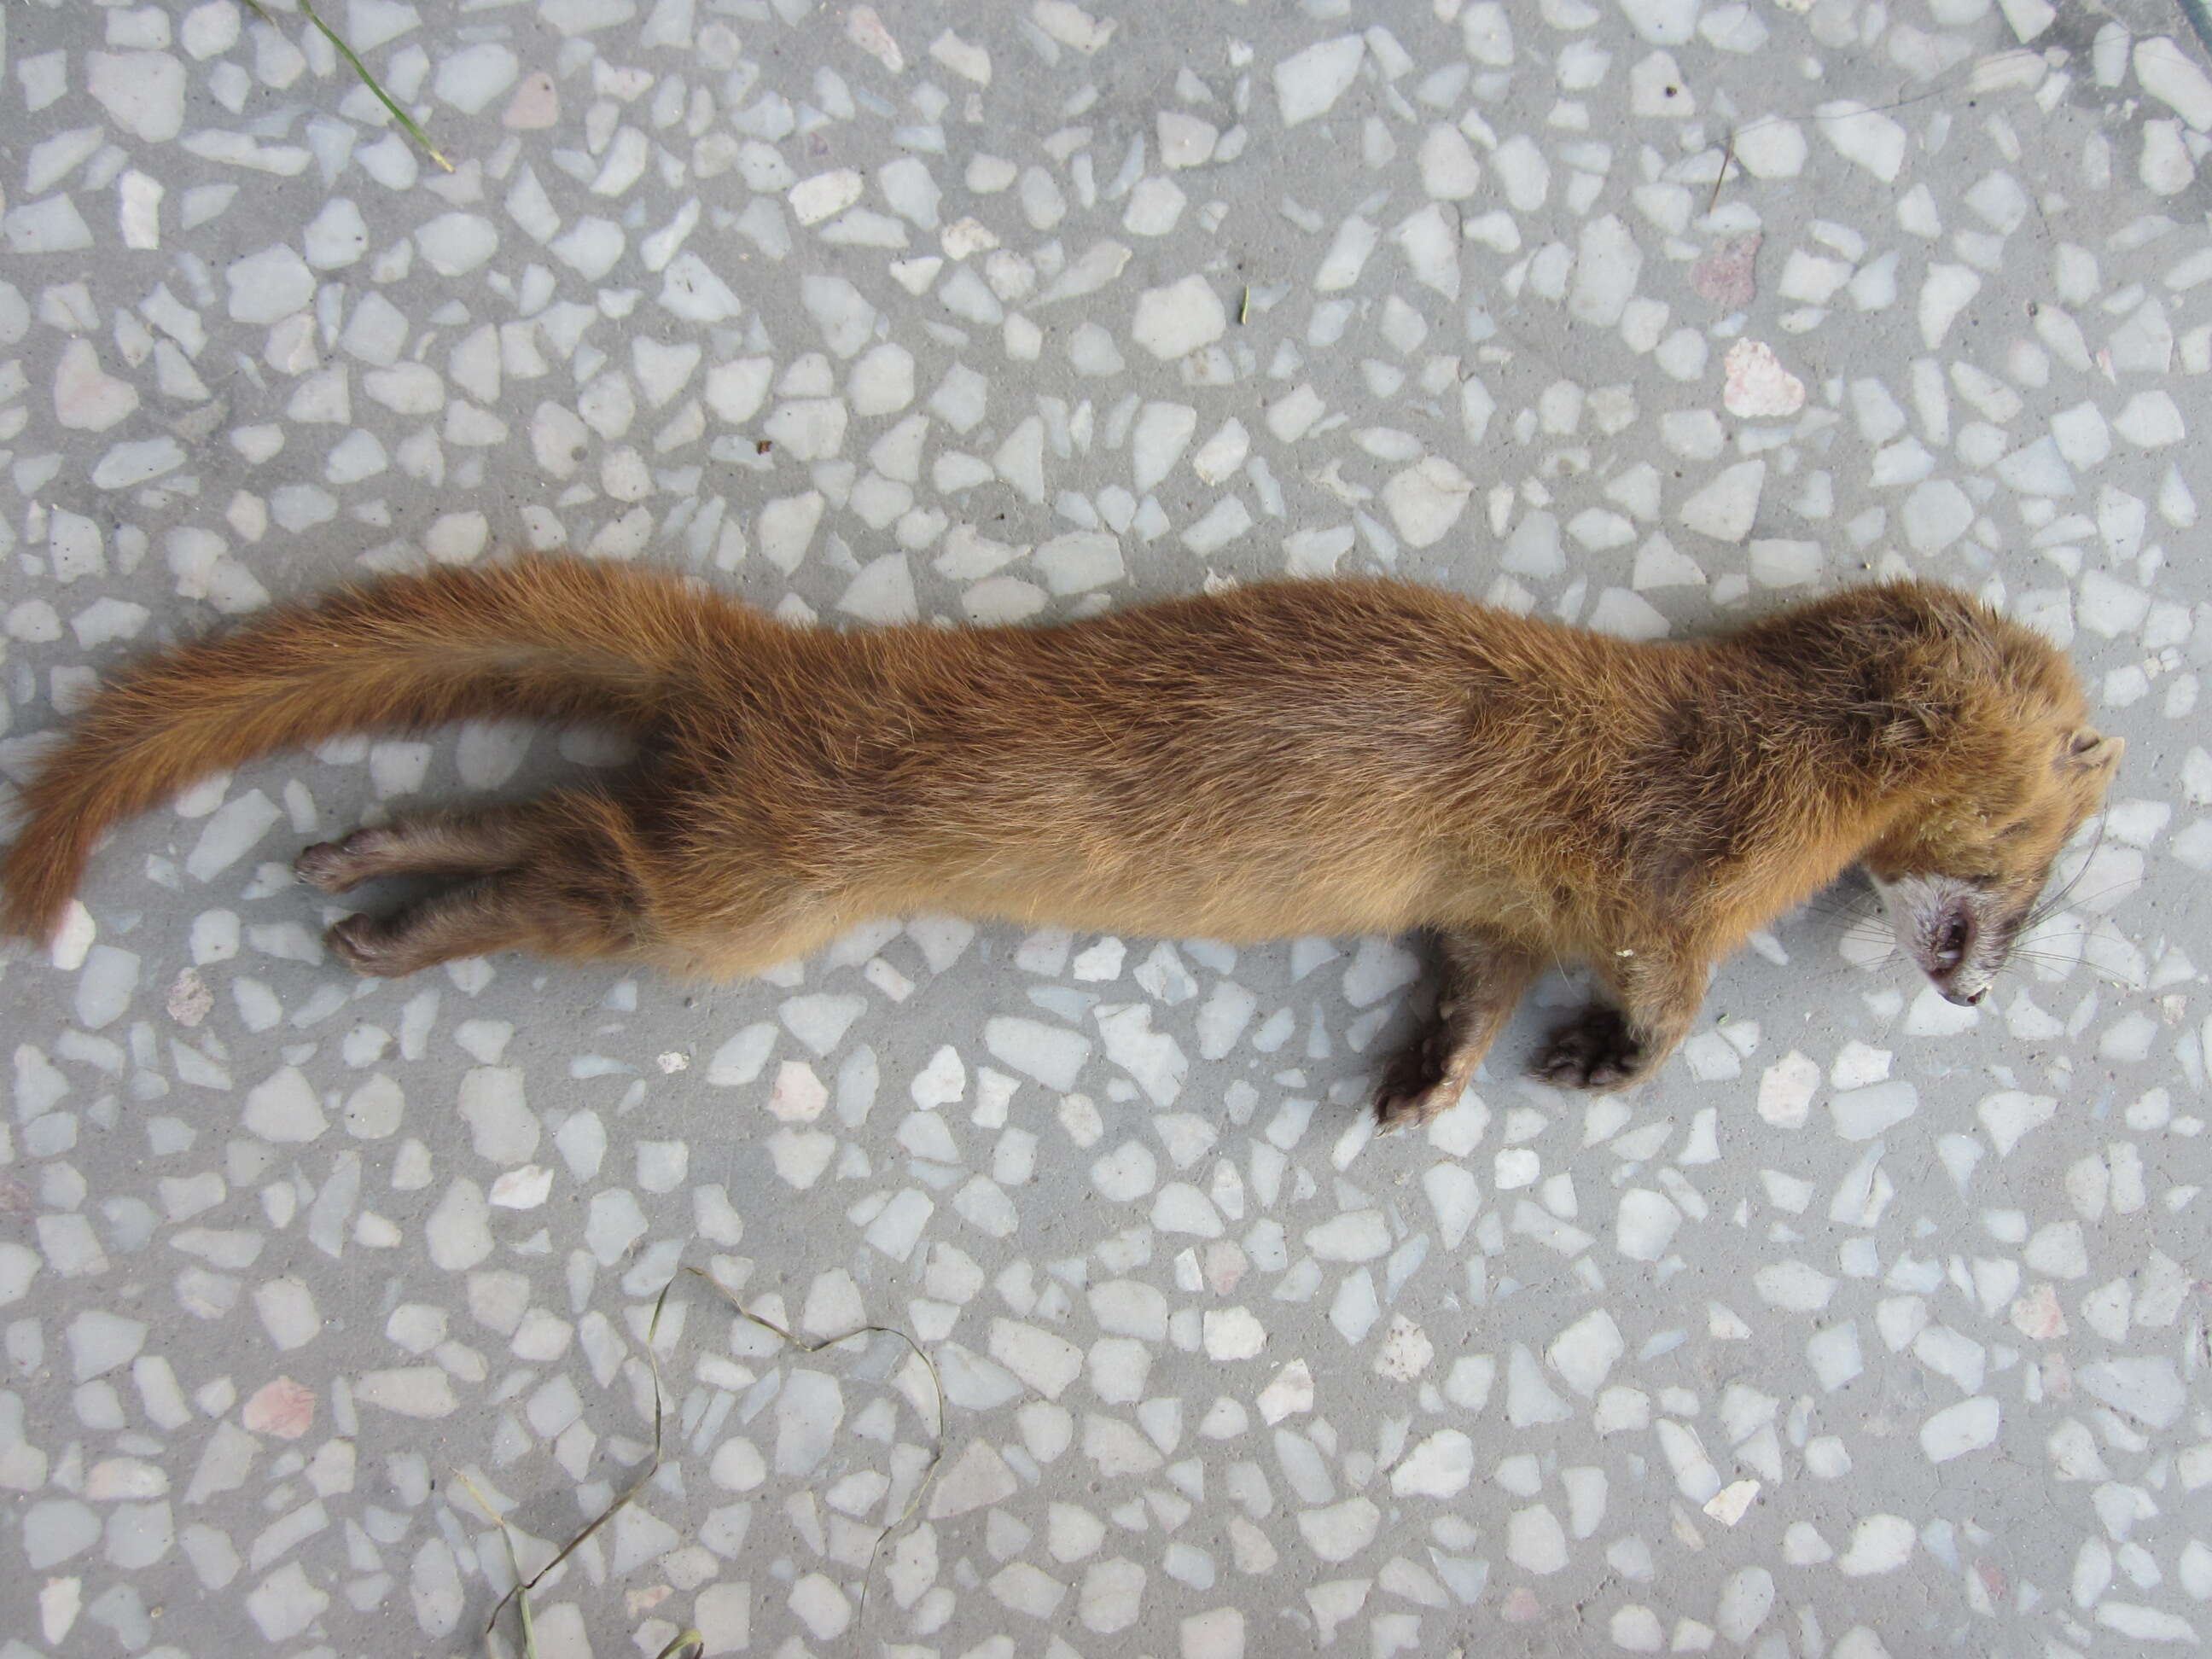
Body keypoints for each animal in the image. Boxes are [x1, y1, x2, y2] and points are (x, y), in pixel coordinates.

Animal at [0, 559, 2114, 1132]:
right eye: (2043, 862)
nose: (1987, 983)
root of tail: (770, 659)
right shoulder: (1675, 870)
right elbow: (1668, 981)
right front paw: (1601, 1059)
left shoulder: (1487, 902)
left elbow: (1472, 973)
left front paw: (1423, 1083)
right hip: (749, 880)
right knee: (583, 860)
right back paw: (386, 925)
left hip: (708, 814)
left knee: (544, 802)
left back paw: (357, 858)